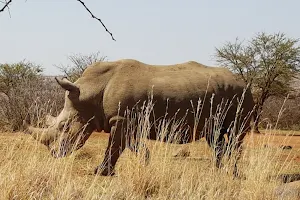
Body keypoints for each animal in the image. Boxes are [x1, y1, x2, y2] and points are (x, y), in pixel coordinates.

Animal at [26, 58, 255, 176]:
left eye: (64, 126)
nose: (54, 153)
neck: (90, 92)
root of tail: (244, 82)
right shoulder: (127, 120)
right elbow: (132, 145)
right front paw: (146, 162)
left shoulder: (120, 119)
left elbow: (114, 148)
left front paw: (99, 172)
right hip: (225, 96)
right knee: (215, 136)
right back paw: (218, 172)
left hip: (241, 96)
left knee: (235, 136)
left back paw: (232, 174)